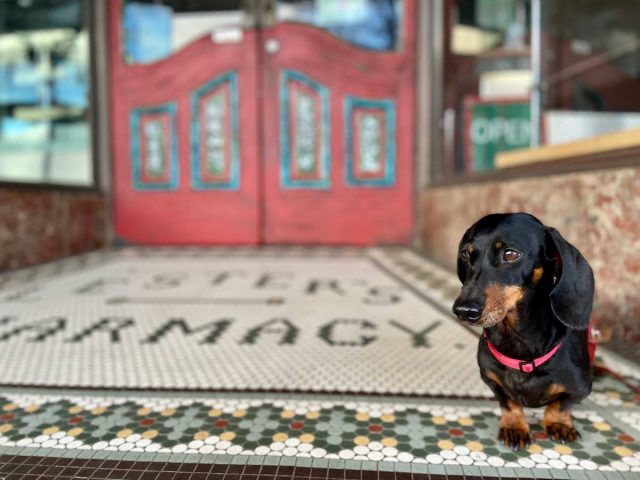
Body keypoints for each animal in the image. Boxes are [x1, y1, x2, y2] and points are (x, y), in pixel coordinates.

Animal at [450, 214, 596, 450]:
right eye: (465, 253)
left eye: (510, 254)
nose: (463, 310)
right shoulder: (491, 381)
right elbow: (509, 403)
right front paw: (514, 427)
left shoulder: (581, 388)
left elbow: (560, 405)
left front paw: (560, 424)